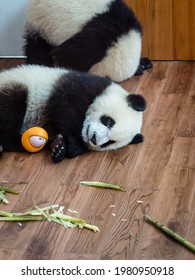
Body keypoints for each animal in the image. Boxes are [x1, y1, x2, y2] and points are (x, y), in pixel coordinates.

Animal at [0, 64, 146, 163]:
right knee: (12, 107)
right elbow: (65, 107)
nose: (94, 138)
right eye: (109, 121)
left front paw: (58, 147)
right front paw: (72, 145)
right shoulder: (80, 86)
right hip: (14, 86)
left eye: (109, 142)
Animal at [23, 0, 152, 82]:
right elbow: (67, 55)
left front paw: (143, 64)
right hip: (41, 22)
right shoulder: (94, 41)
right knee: (37, 49)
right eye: (107, 77)